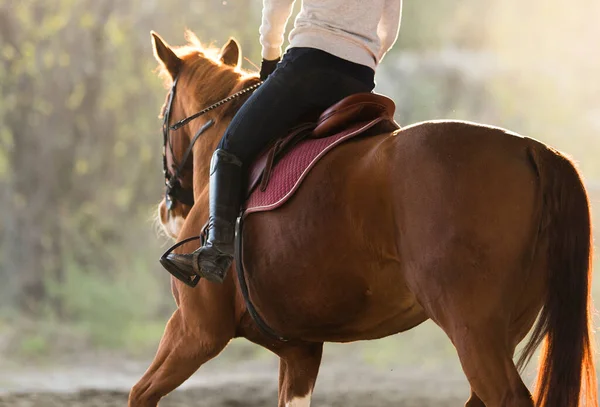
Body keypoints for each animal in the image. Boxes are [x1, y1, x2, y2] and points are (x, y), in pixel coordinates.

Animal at [129, 30, 596, 406]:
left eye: (164, 115)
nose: (170, 208)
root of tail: (529, 148)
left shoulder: (195, 330)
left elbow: (140, 393)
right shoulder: (300, 351)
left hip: (474, 331)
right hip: (502, 331)